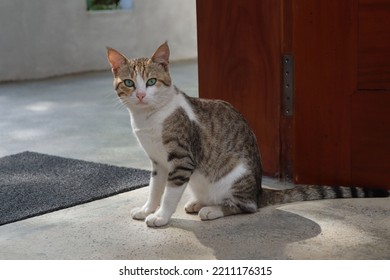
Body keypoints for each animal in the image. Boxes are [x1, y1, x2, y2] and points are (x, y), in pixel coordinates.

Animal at [107, 42, 390, 228]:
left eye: (152, 82)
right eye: (129, 83)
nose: (140, 94)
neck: (149, 118)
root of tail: (259, 190)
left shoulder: (182, 159)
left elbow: (169, 193)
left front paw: (161, 217)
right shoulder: (158, 163)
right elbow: (155, 189)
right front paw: (147, 209)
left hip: (236, 177)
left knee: (246, 207)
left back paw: (212, 210)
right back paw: (199, 203)